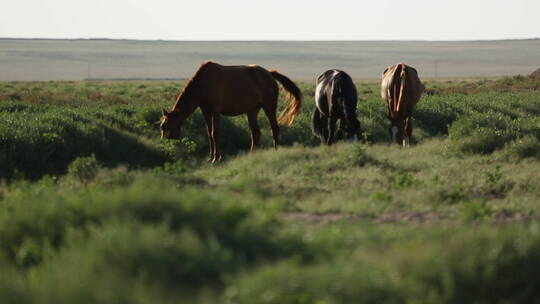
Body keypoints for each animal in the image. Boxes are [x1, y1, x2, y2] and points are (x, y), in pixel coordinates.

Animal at [160, 60, 304, 163]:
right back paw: (252, 154)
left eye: (167, 126)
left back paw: (275, 151)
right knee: (255, 133)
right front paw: (210, 157)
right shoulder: (205, 110)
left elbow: (215, 133)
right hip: (252, 110)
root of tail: (269, 74)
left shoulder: (215, 110)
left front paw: (216, 158)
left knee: (274, 128)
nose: (165, 145)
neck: (202, 83)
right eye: (161, 127)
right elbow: (209, 133)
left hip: (269, 107)